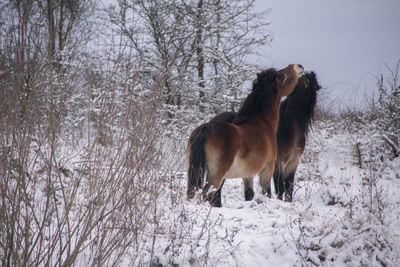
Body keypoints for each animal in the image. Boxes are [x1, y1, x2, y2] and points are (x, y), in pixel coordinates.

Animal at [187, 64, 304, 207]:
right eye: (282, 75)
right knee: (207, 194)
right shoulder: (267, 170)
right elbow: (267, 192)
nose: (298, 66)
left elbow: (249, 194)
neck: (260, 124)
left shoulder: (248, 174)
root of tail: (205, 128)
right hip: (216, 175)